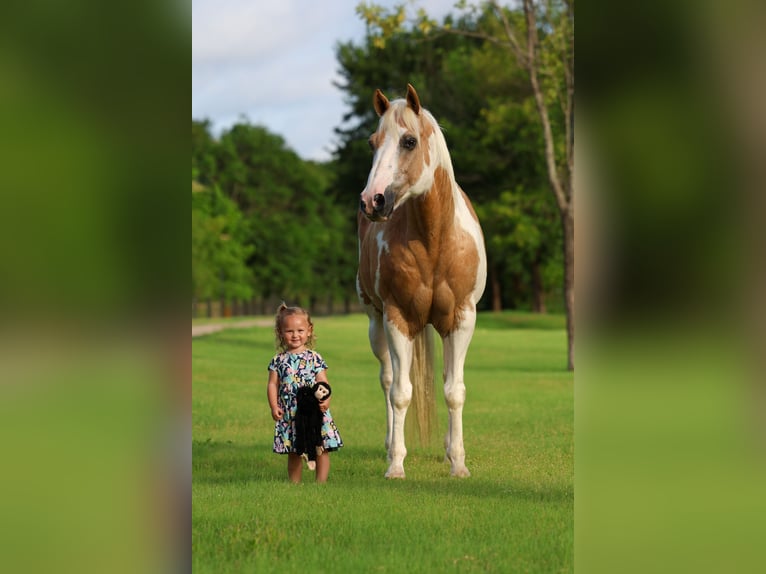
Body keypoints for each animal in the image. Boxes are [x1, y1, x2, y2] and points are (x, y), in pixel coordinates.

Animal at [356, 84, 487, 478]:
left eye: (409, 141)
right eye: (372, 142)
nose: (372, 201)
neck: (435, 239)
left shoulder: (461, 320)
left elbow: (454, 391)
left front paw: (458, 463)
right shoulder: (397, 319)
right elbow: (400, 393)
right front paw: (396, 465)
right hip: (376, 323)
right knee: (387, 380)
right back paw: (389, 447)